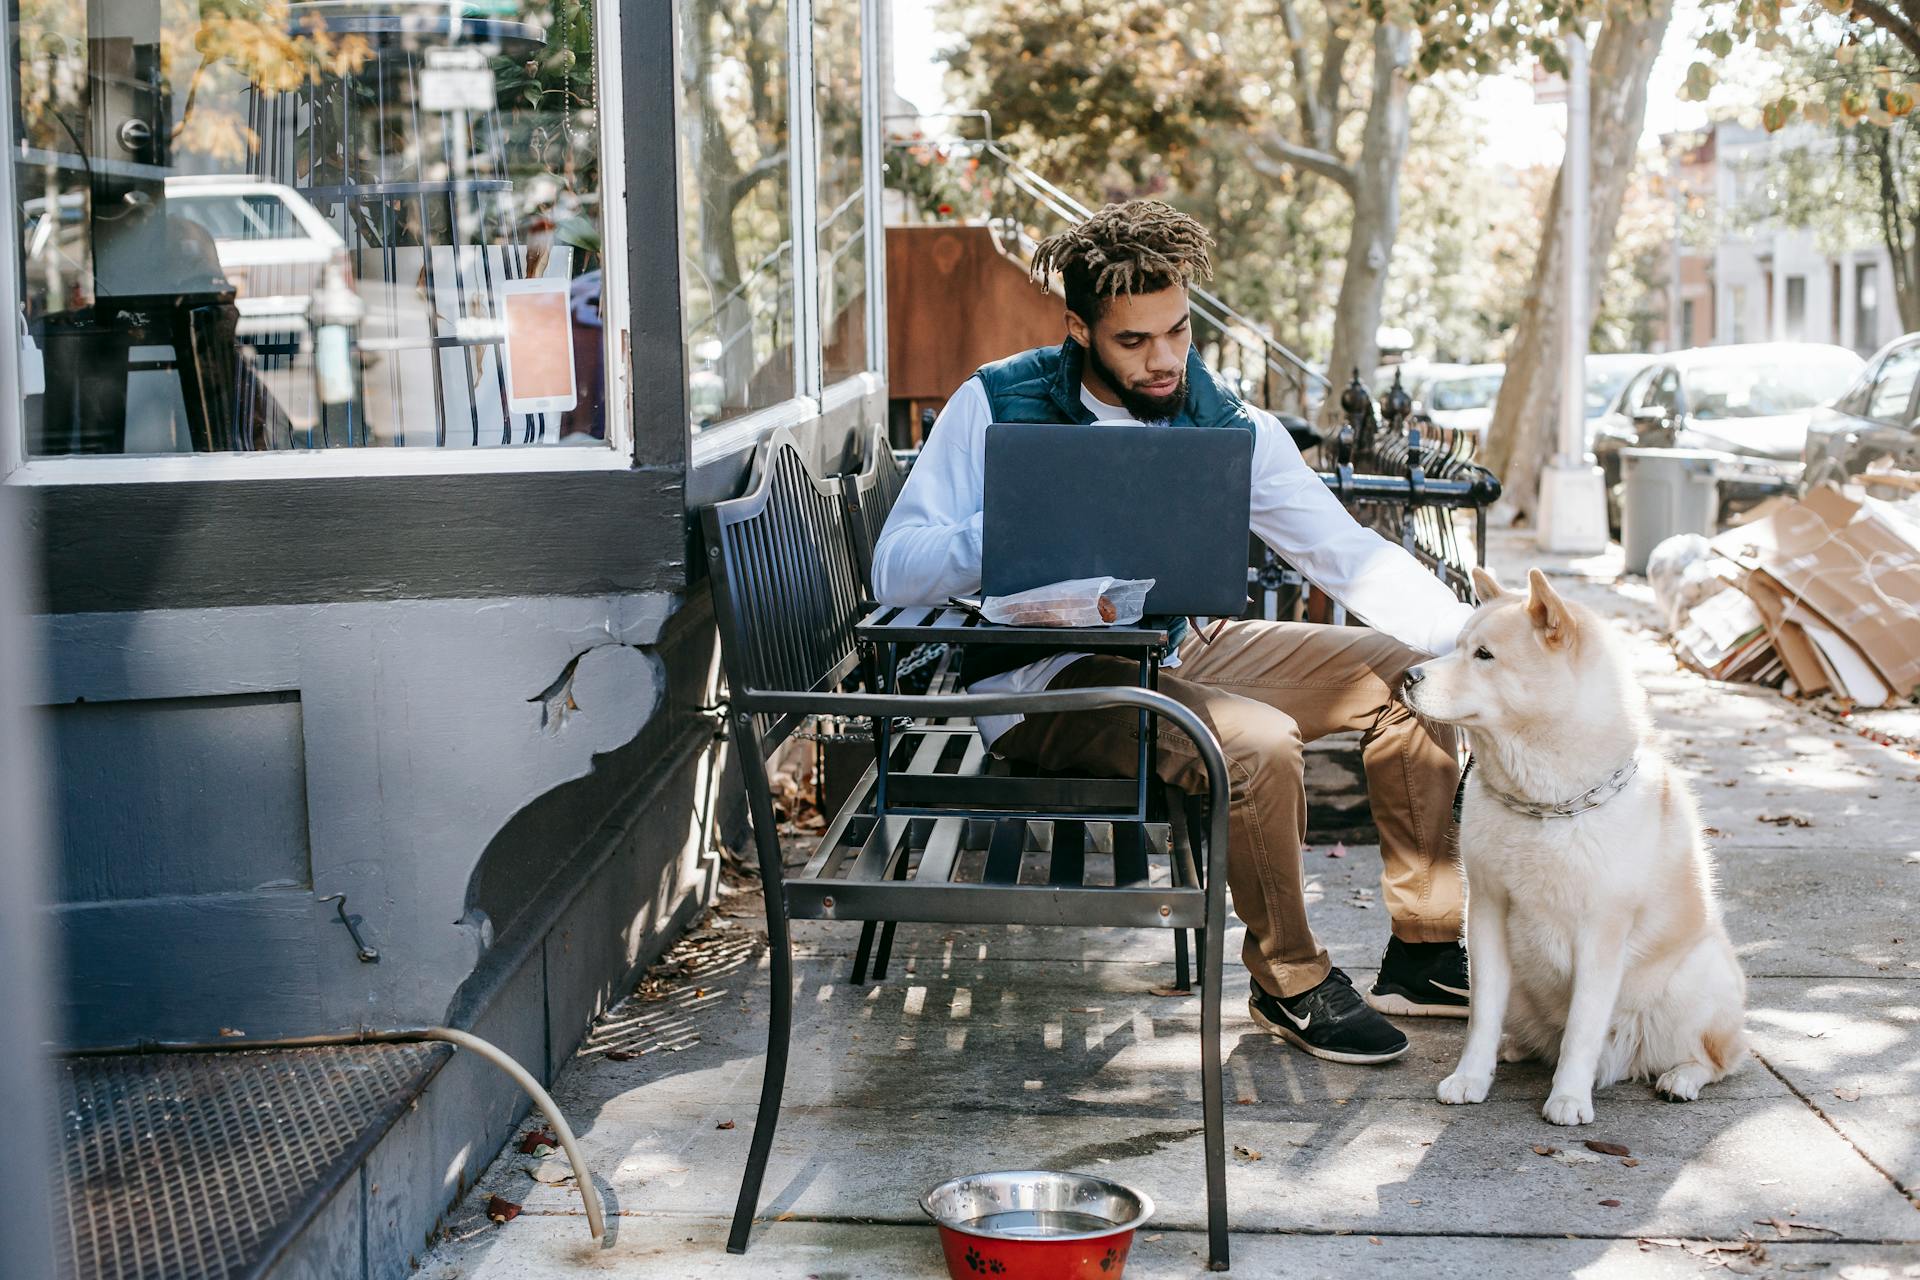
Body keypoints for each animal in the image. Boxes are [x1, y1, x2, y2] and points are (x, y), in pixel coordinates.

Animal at [1405, 564, 1751, 1128]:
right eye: (1455, 646)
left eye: (1484, 655)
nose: (1410, 676)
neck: (1545, 807)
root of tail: (1626, 1062)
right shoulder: (1485, 913)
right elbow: (1481, 1016)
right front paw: (1472, 1077)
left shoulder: (1601, 933)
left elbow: (1583, 1030)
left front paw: (1568, 1097)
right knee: (1537, 1034)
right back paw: (1515, 1048)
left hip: (1695, 979)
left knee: (1719, 1056)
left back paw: (1681, 1078)